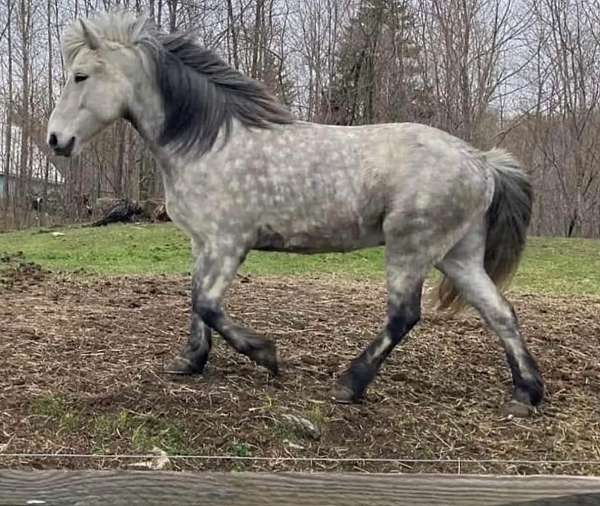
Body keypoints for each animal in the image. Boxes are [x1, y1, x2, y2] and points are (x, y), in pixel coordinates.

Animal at [47, 11, 544, 418]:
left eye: (80, 76)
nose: (55, 140)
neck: (210, 143)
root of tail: (481, 161)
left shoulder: (229, 244)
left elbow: (207, 304)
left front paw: (266, 355)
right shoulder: (202, 242)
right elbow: (195, 301)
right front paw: (189, 361)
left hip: (411, 249)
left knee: (404, 316)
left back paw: (349, 384)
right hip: (457, 255)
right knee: (500, 312)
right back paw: (526, 394)